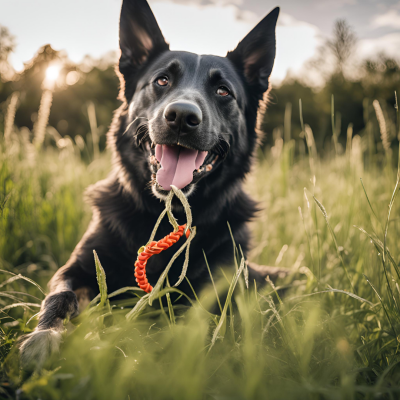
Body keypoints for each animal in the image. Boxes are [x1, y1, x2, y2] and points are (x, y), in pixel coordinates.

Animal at [20, 0, 280, 368]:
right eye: (162, 80)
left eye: (223, 91)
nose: (182, 116)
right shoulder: (80, 268)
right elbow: (60, 296)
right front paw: (44, 337)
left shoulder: (213, 295)